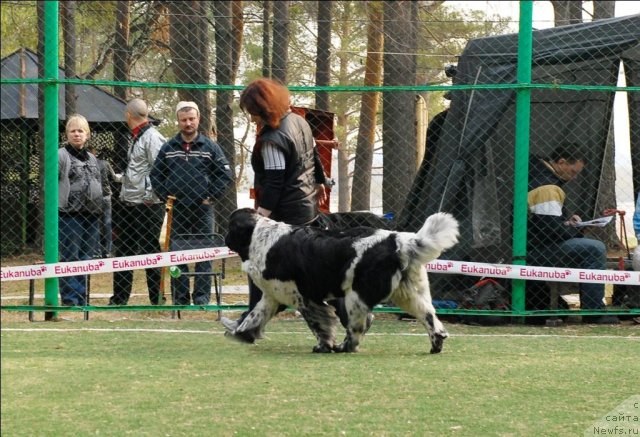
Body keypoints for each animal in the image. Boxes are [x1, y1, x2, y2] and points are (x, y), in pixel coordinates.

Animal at [222, 206, 458, 352]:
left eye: (230, 226)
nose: (224, 237)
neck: (260, 237)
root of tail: (397, 240)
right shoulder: (272, 297)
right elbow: (254, 316)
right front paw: (240, 333)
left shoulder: (303, 298)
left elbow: (320, 325)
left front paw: (323, 346)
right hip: (410, 295)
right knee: (430, 319)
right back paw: (436, 345)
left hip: (356, 297)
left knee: (357, 328)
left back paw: (344, 347)